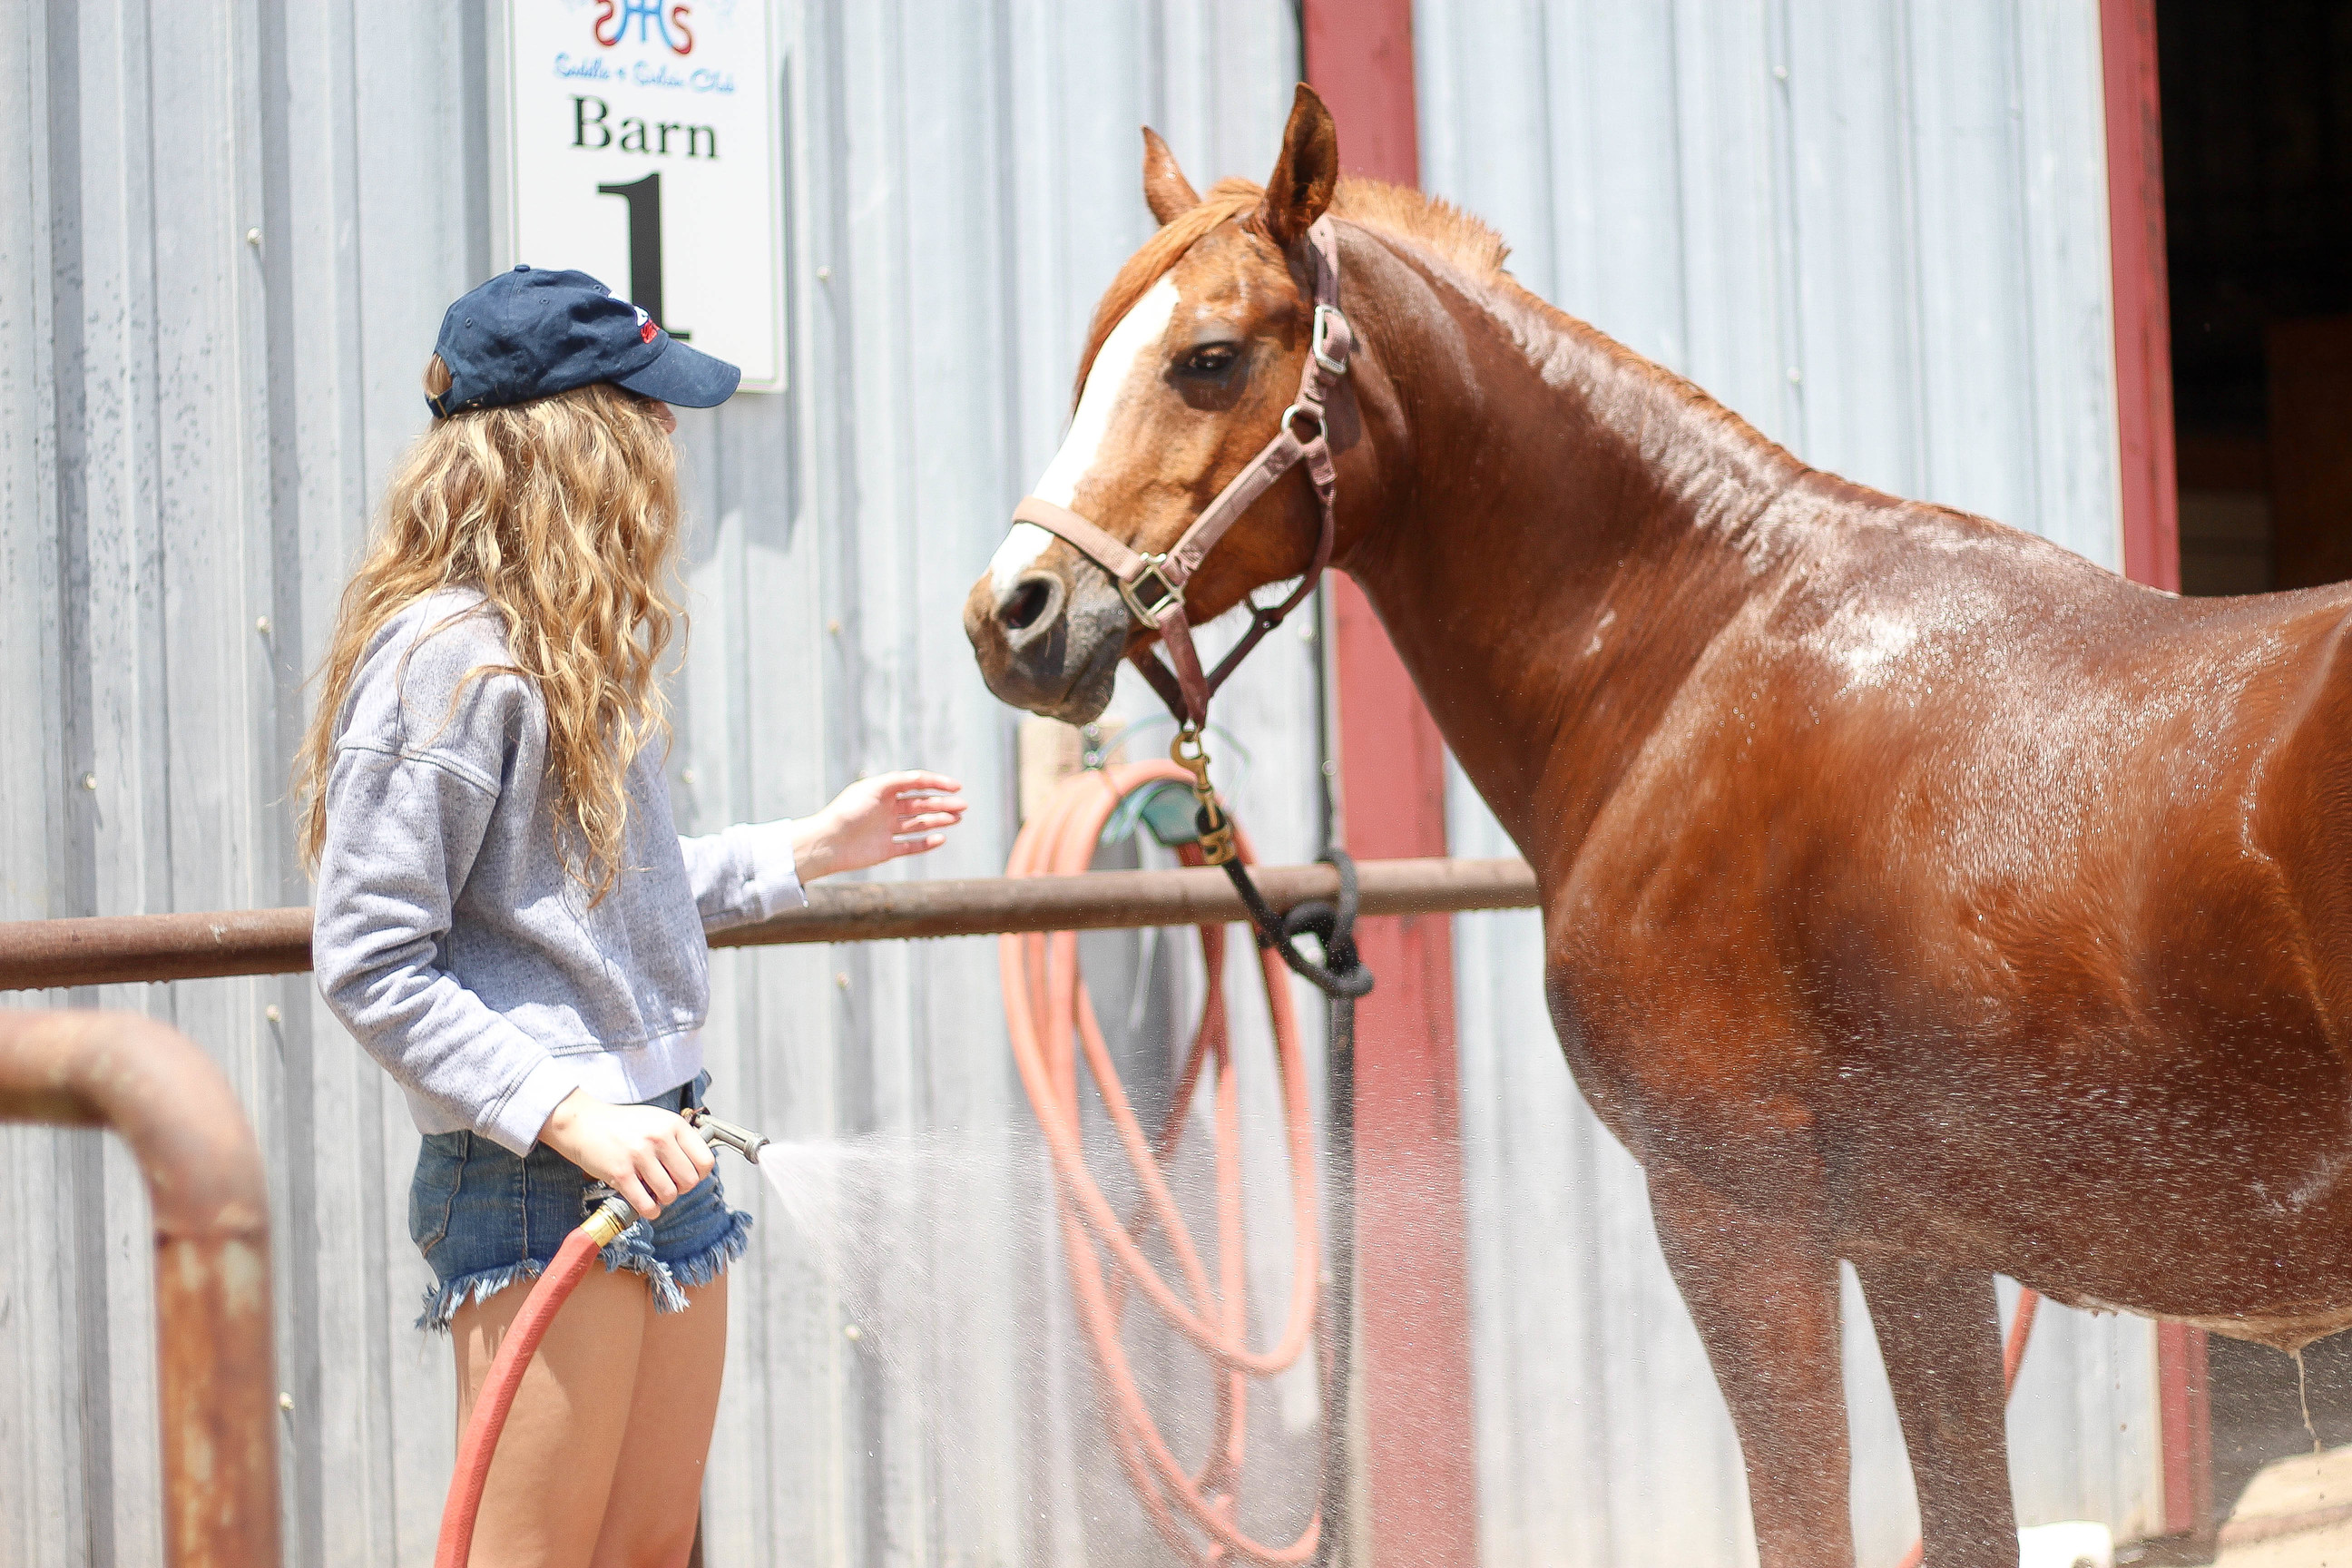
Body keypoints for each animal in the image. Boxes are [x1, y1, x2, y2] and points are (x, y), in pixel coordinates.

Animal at [964, 88, 2352, 1568]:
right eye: (1092, 362)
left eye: (1210, 360)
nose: (1012, 614)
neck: (1702, 647)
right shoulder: (1916, 1244)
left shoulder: (1735, 1213)